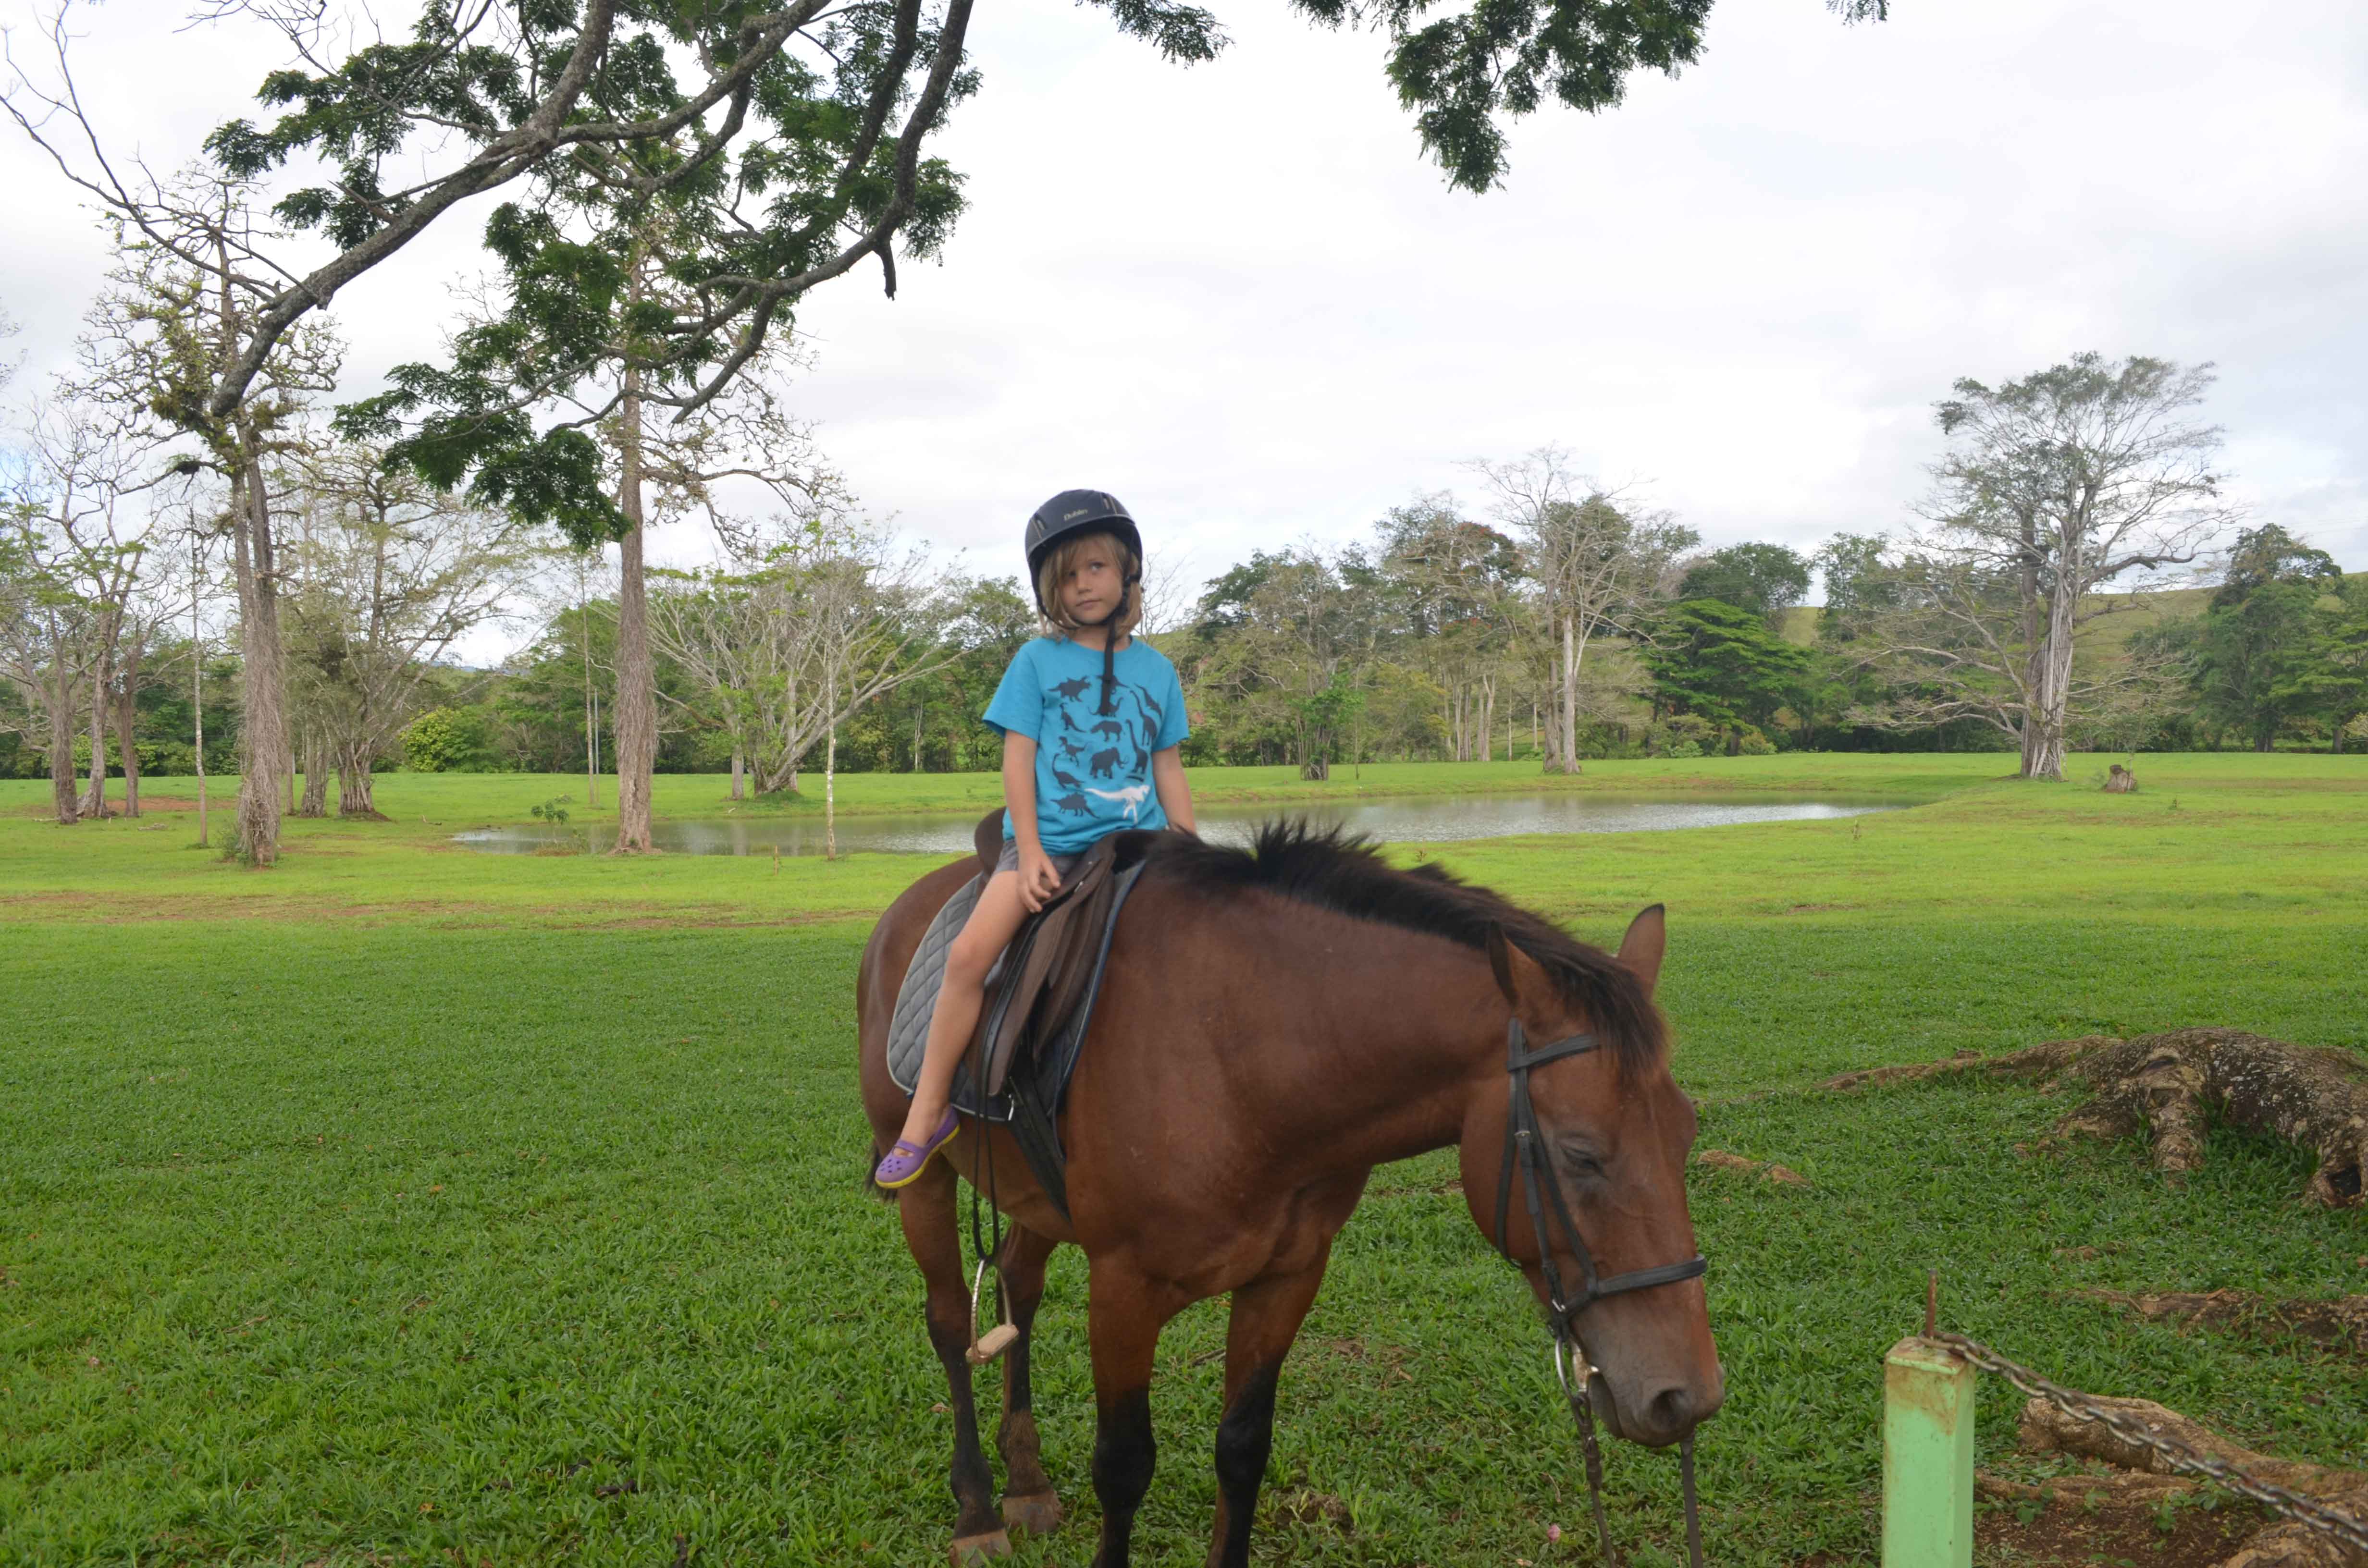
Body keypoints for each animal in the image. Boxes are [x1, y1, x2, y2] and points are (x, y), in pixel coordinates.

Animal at [856, 823, 1721, 1567]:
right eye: (1580, 1153)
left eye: (1686, 1135)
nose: (1687, 1395)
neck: (1238, 1058)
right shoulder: (1123, 1287)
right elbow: (1124, 1465)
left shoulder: (1288, 1274)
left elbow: (1242, 1448)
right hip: (925, 1181)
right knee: (948, 1324)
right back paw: (976, 1510)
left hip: (1036, 1196)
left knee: (1016, 1285)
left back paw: (1027, 1483)